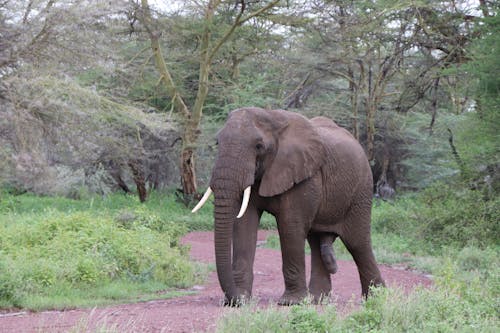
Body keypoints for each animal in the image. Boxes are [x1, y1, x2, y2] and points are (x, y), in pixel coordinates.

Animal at [193, 107, 384, 304]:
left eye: (259, 146)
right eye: (217, 142)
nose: (233, 299)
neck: (271, 117)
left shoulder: (303, 175)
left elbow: (289, 226)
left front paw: (290, 302)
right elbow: (244, 224)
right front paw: (241, 300)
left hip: (361, 191)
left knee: (357, 243)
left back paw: (377, 298)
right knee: (316, 242)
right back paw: (317, 299)